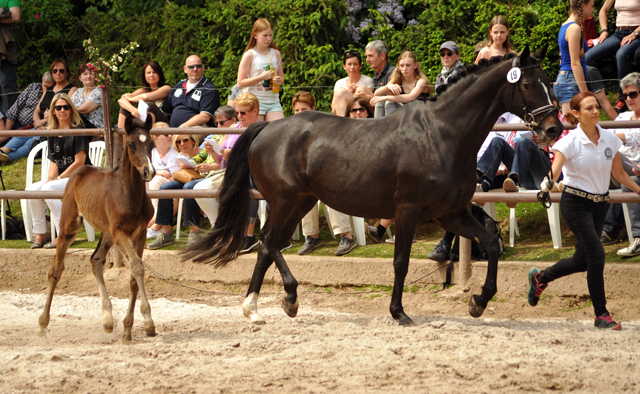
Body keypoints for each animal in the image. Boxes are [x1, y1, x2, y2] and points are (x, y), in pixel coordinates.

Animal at [38, 114, 157, 342]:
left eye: (152, 144)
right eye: (131, 144)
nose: (149, 171)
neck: (129, 193)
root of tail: (81, 169)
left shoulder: (140, 233)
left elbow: (134, 275)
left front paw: (128, 328)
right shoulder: (121, 233)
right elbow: (137, 267)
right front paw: (148, 323)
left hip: (107, 233)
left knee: (95, 261)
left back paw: (108, 320)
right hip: (70, 226)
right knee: (56, 269)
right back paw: (42, 323)